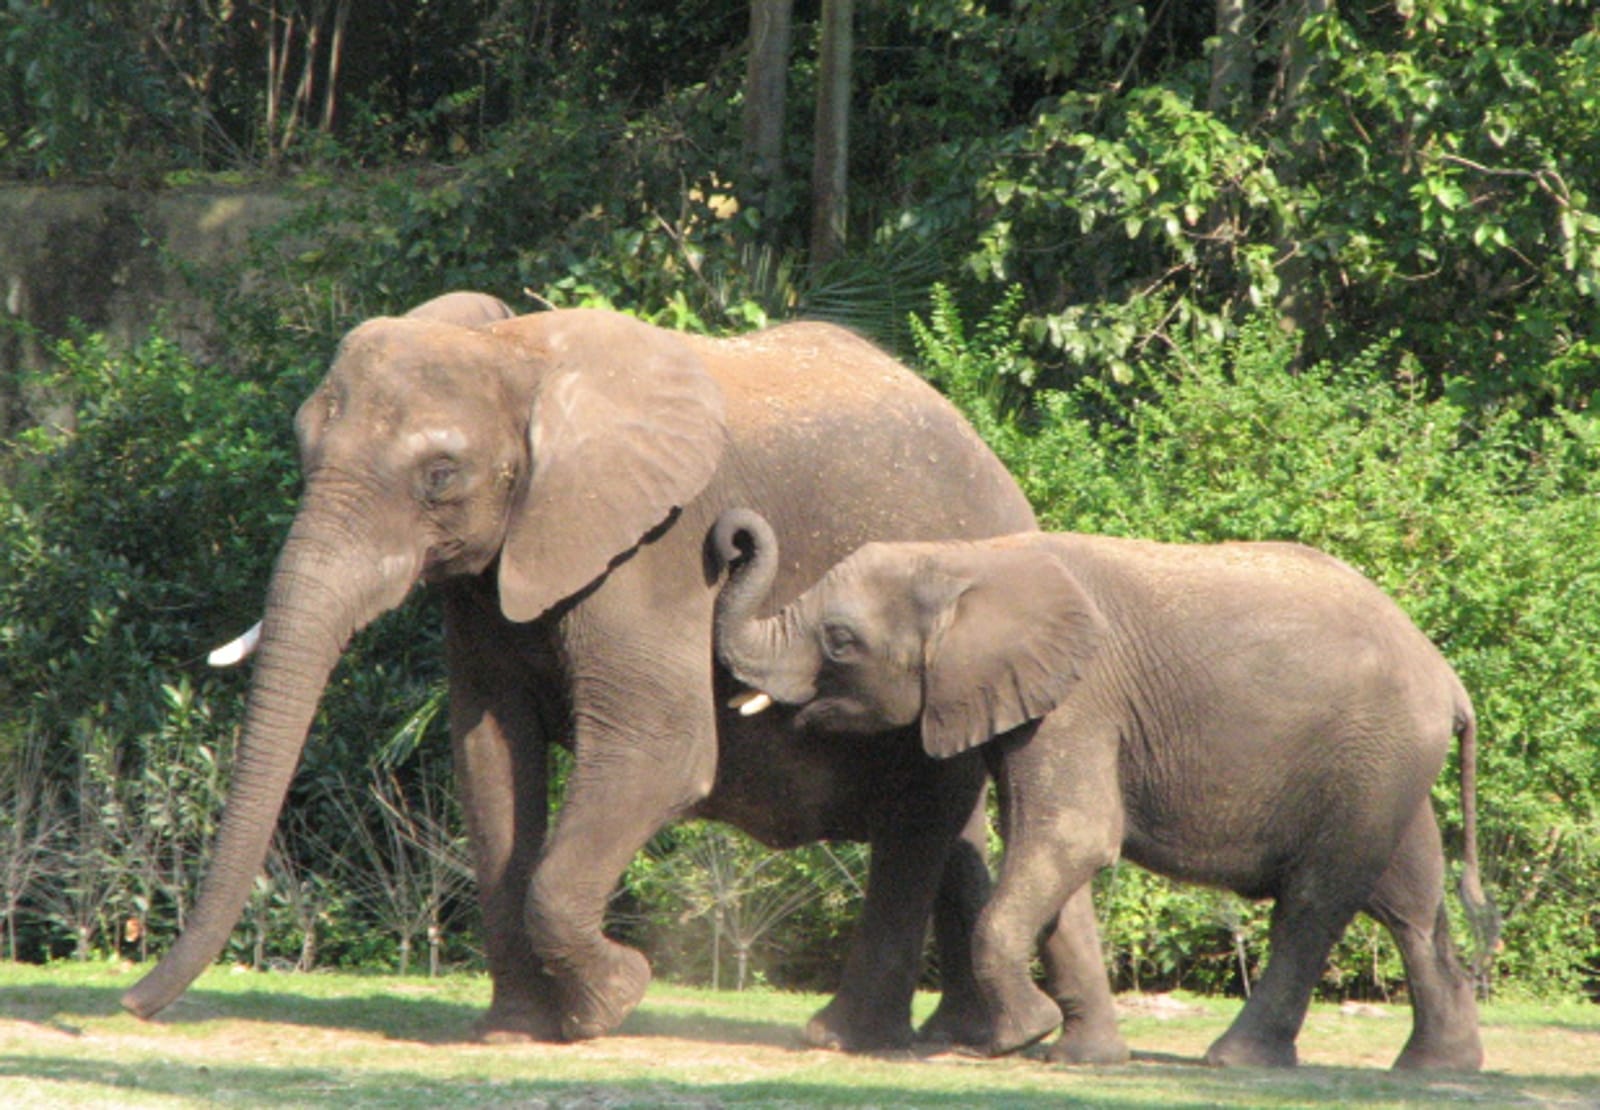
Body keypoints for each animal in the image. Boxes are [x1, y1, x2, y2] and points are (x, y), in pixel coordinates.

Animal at [120, 291, 1040, 1052]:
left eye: (439, 476)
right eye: (305, 452)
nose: (131, 1004)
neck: (517, 358)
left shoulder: (656, 548)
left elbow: (660, 750)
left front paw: (613, 1000)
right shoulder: (490, 577)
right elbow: (490, 756)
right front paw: (516, 1032)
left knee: (917, 819)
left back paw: (859, 1040)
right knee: (947, 828)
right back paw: (986, 1038)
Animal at [711, 509, 1497, 1070]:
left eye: (840, 641)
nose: (732, 537)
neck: (971, 559)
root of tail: (1451, 680)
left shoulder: (1080, 697)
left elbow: (1071, 836)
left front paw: (1016, 1037)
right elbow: (1059, 858)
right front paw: (1079, 1055)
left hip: (1374, 750)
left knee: (1318, 899)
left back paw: (1235, 1060)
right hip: (1391, 760)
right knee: (1409, 899)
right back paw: (1438, 1068)